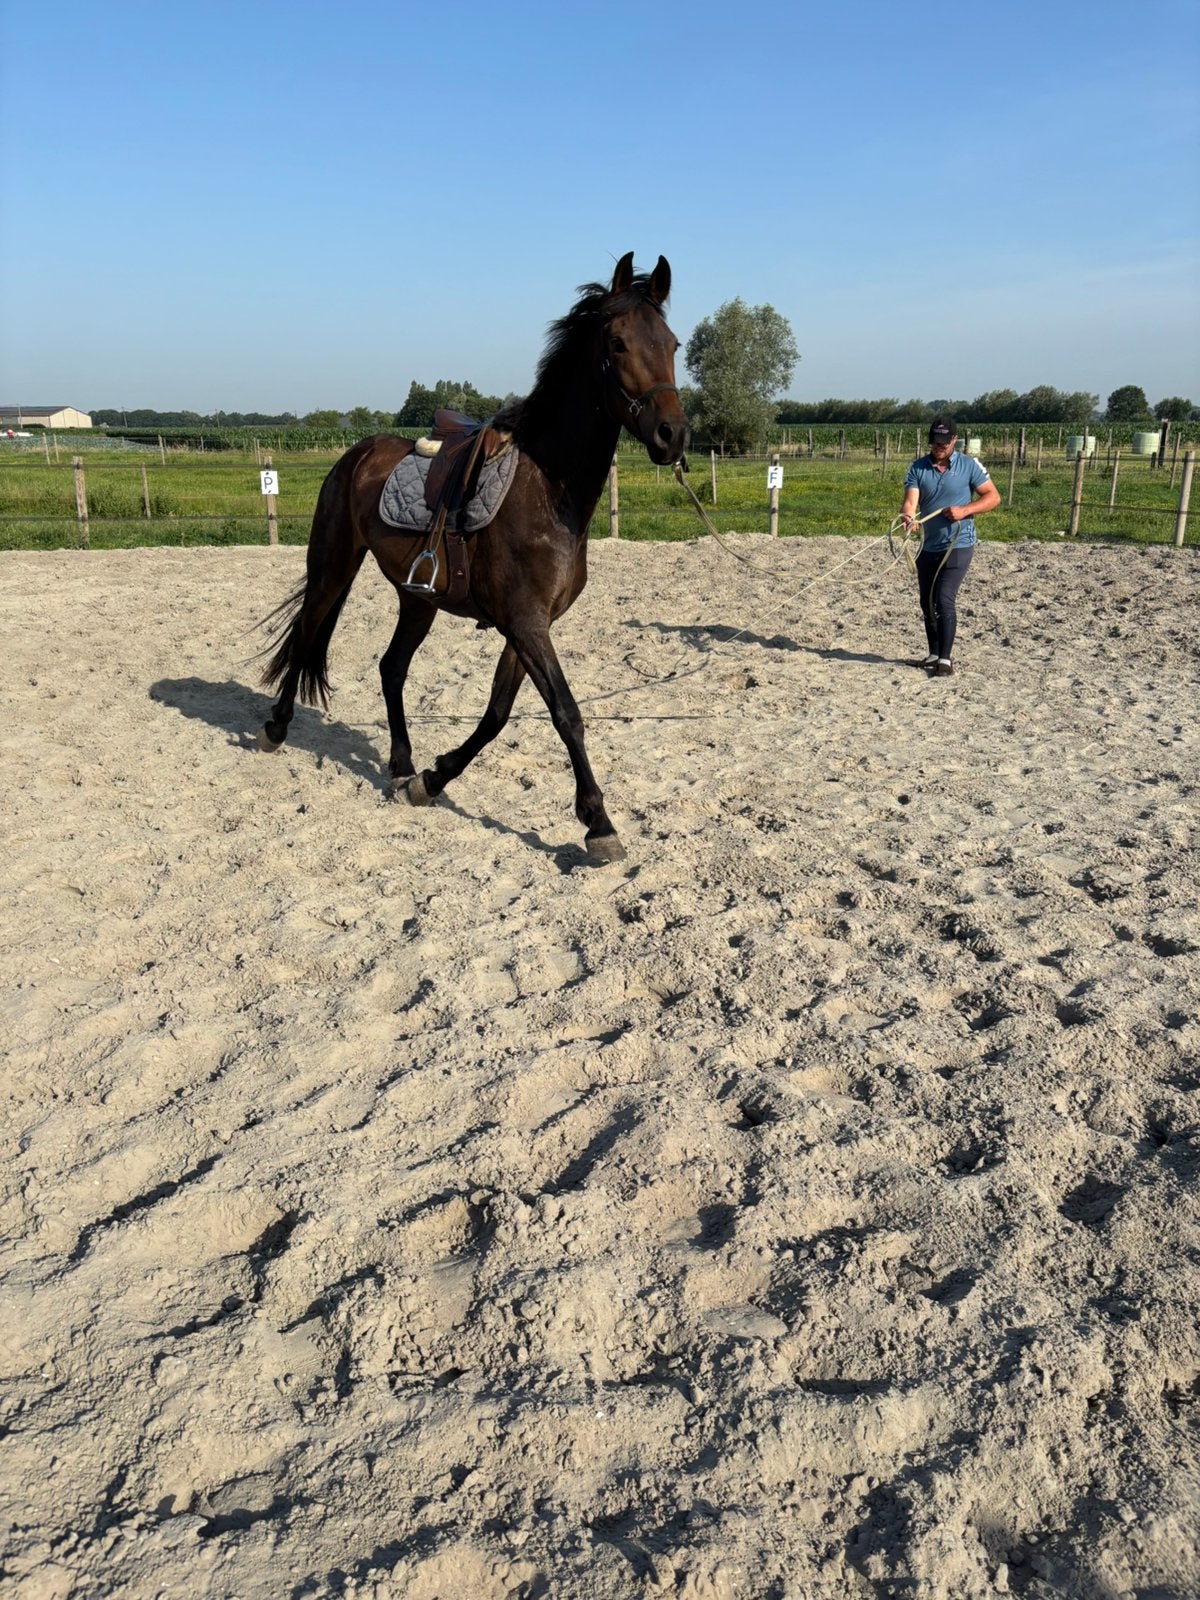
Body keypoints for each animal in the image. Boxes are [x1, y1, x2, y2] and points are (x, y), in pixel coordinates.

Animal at [257, 252, 689, 863]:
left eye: (673, 344)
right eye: (619, 343)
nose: (673, 434)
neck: (547, 491)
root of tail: (355, 454)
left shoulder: (528, 626)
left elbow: (496, 714)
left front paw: (431, 780)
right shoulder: (527, 624)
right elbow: (567, 713)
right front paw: (599, 823)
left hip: (417, 598)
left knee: (391, 667)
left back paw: (402, 764)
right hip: (332, 569)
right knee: (305, 637)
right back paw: (275, 729)